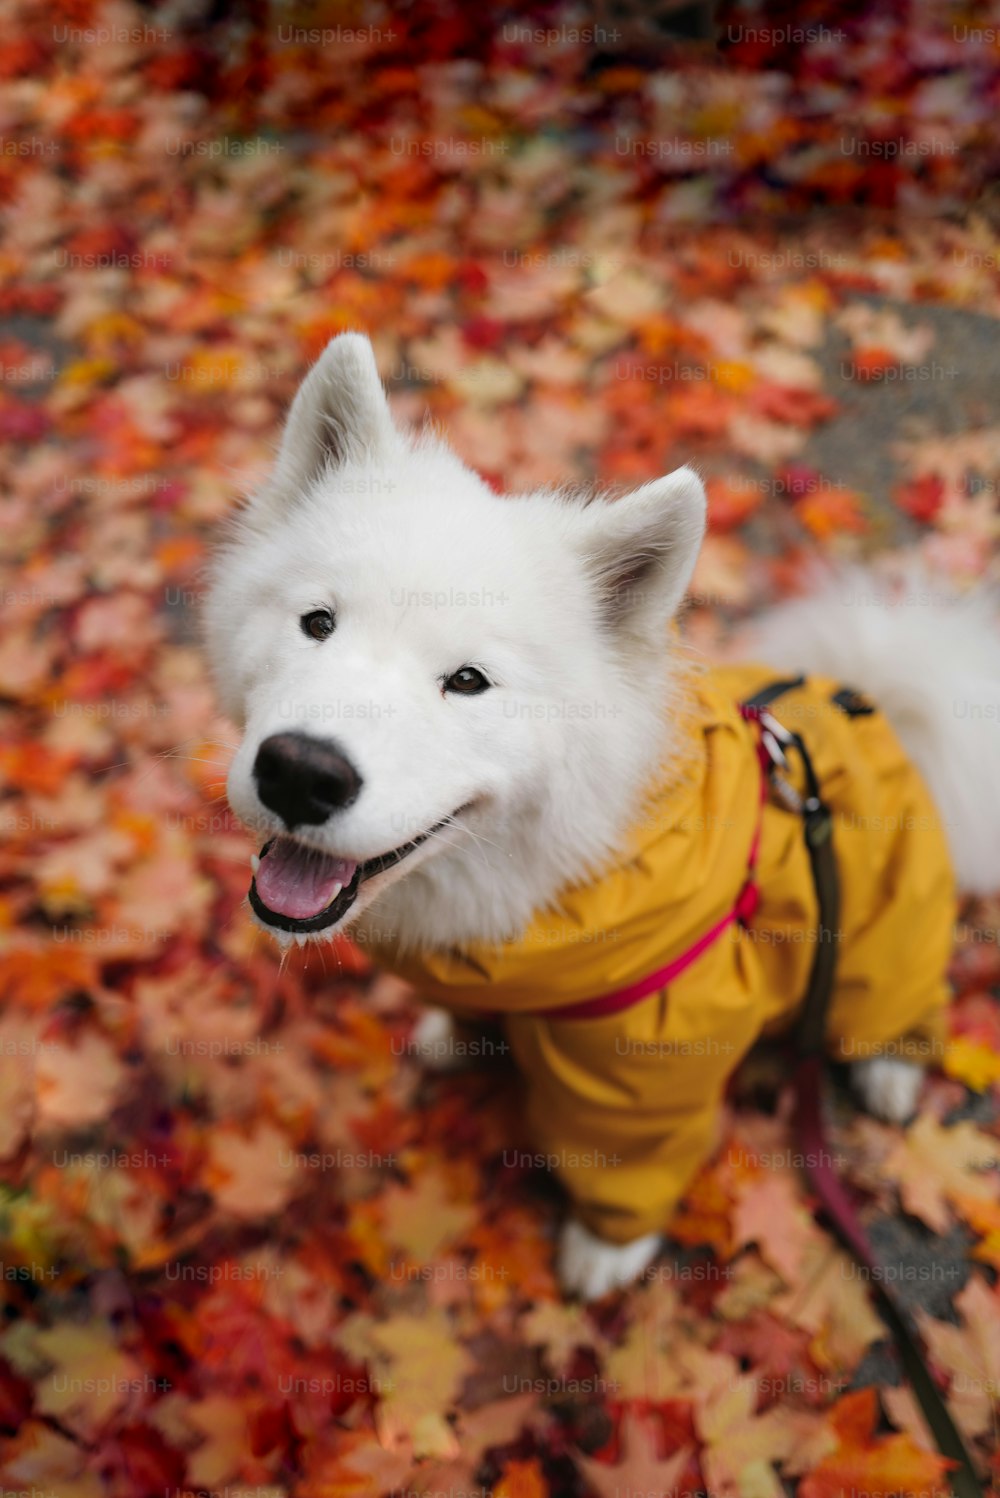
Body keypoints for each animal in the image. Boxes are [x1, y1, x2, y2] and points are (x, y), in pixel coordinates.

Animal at [205, 334, 999, 1294]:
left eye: (468, 680)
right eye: (317, 622)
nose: (300, 773)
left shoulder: (648, 1056)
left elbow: (623, 1163)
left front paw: (605, 1250)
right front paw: (455, 1034)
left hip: (883, 936)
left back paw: (889, 1071)